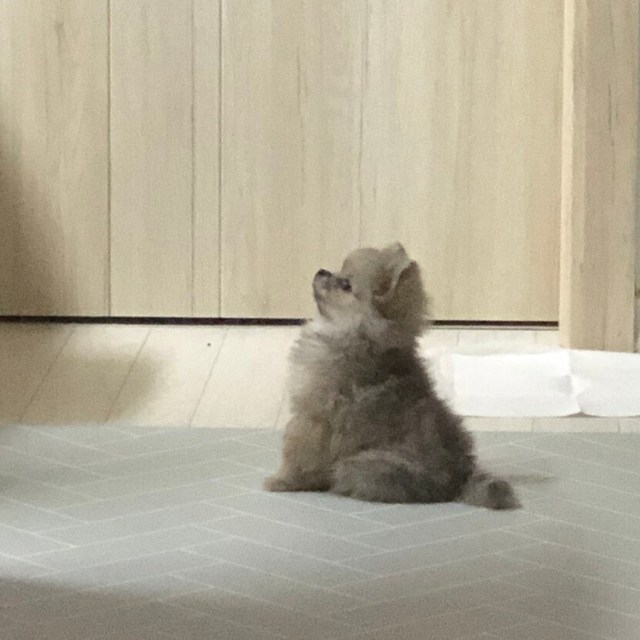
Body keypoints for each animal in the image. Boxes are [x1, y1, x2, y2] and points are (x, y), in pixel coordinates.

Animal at [264, 243, 519, 509]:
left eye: (346, 285)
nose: (322, 271)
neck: (354, 334)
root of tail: (458, 480)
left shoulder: (315, 418)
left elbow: (297, 455)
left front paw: (281, 482)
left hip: (361, 464)